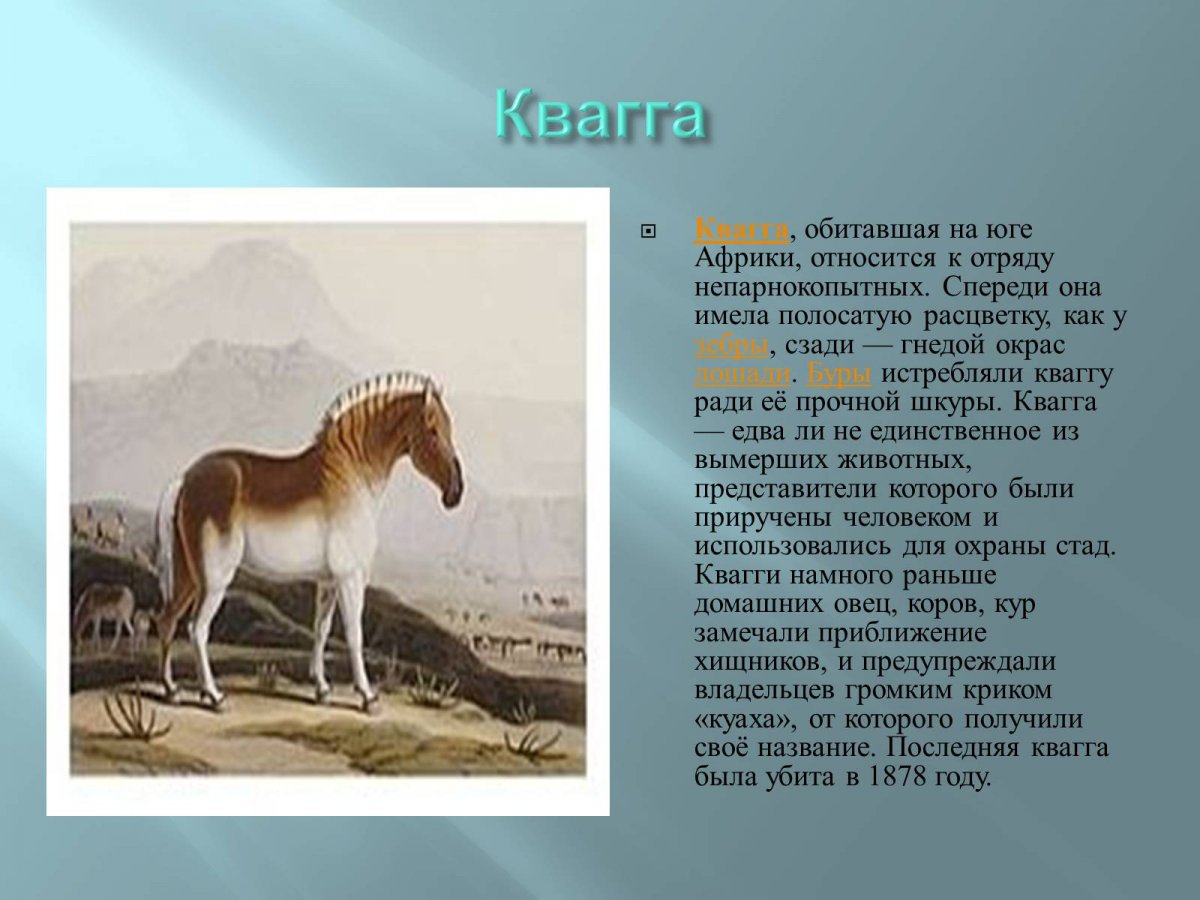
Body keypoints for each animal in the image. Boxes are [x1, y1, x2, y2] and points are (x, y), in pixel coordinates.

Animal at [154, 371, 464, 712]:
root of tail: (186, 479)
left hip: (190, 576)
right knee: (197, 629)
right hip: (214, 579)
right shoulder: (350, 577)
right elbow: (354, 633)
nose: (456, 491)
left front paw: (322, 689)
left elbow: (321, 630)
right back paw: (213, 696)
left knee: (167, 619)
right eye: (433, 430)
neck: (352, 473)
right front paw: (367, 696)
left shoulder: (328, 581)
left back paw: (171, 690)